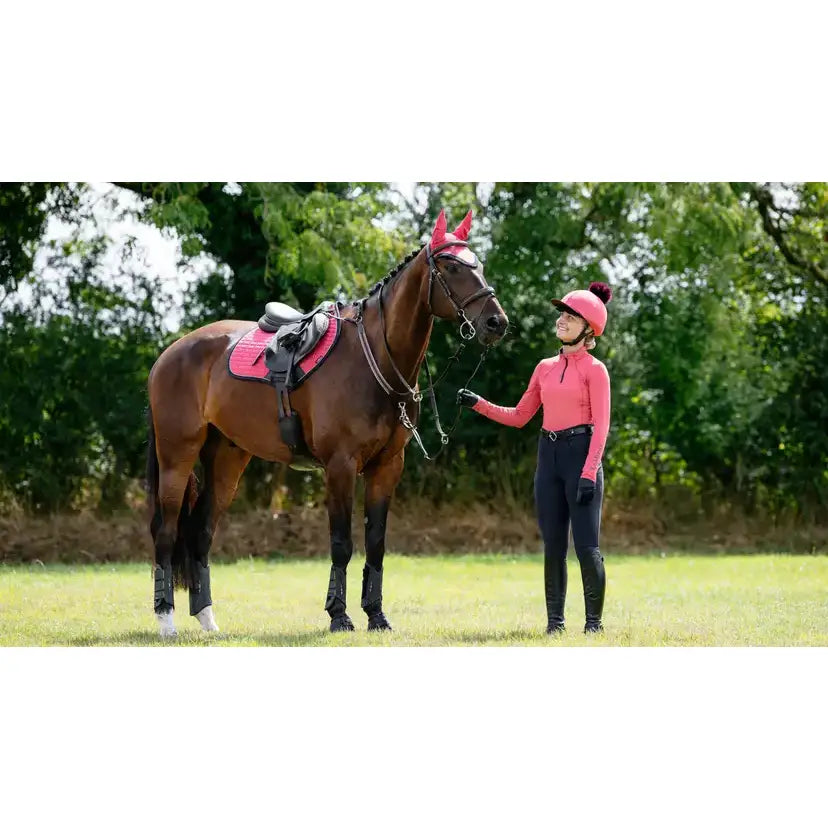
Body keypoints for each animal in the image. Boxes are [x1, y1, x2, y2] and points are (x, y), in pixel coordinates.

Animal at [145, 208, 509, 636]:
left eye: (478, 265)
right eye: (451, 266)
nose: (496, 322)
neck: (374, 359)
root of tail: (170, 352)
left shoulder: (388, 467)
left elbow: (376, 543)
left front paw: (377, 616)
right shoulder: (340, 467)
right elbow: (341, 543)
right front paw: (339, 615)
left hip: (226, 460)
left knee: (200, 532)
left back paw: (207, 619)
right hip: (177, 456)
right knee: (167, 531)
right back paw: (166, 619)